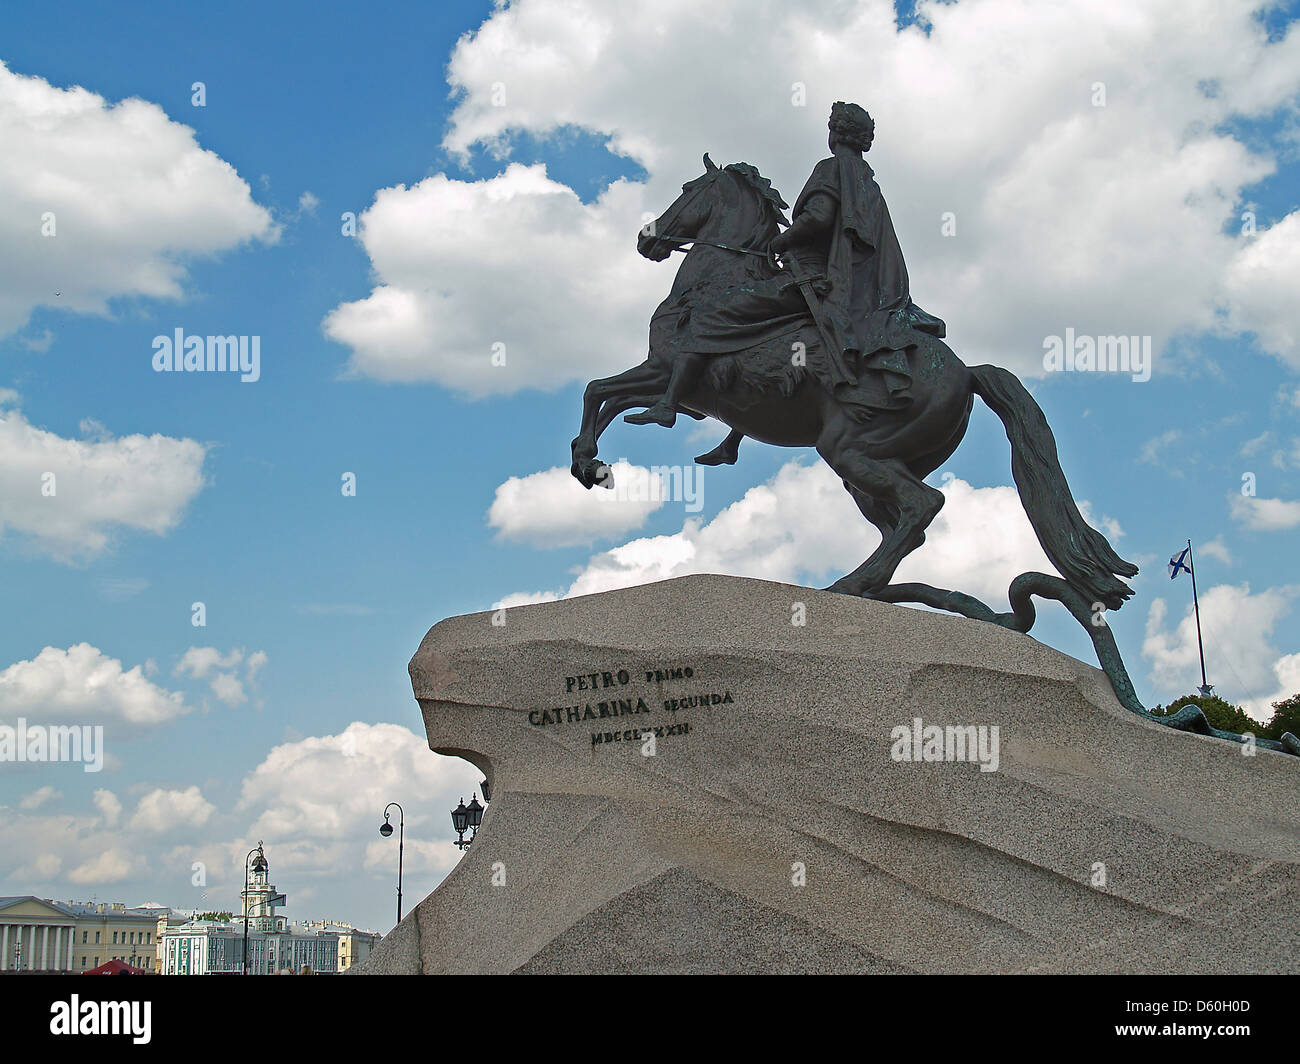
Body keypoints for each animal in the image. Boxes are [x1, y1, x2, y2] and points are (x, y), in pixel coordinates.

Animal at [572, 153, 1138, 608]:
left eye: (689, 189)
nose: (646, 238)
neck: (718, 281)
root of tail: (964, 373)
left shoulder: (668, 370)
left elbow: (601, 391)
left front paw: (589, 461)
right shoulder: (669, 381)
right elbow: (606, 398)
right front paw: (590, 463)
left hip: (849, 449)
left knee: (923, 507)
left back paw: (851, 584)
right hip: (872, 465)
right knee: (906, 526)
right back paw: (878, 588)